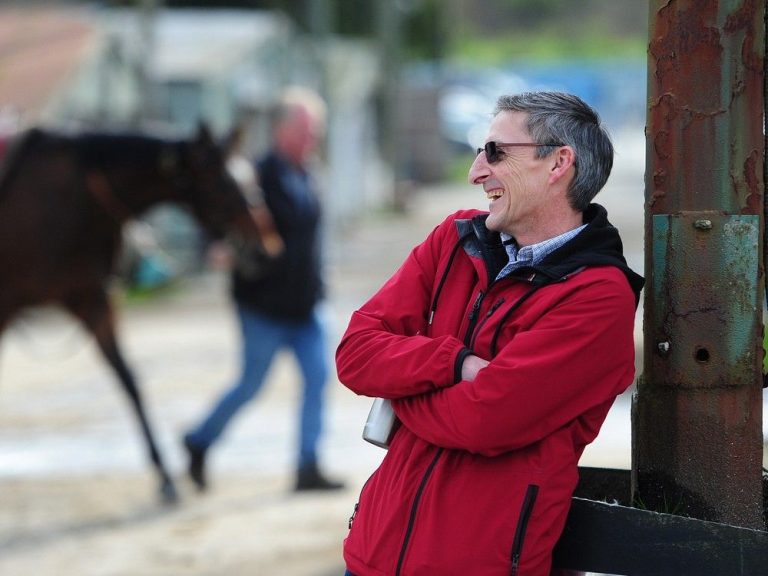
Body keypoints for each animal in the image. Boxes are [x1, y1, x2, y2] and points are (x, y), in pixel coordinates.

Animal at [0, 125, 272, 500]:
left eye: (251, 180)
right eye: (222, 185)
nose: (261, 249)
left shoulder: (93, 302)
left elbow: (129, 380)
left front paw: (165, 475)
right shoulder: (9, 303)